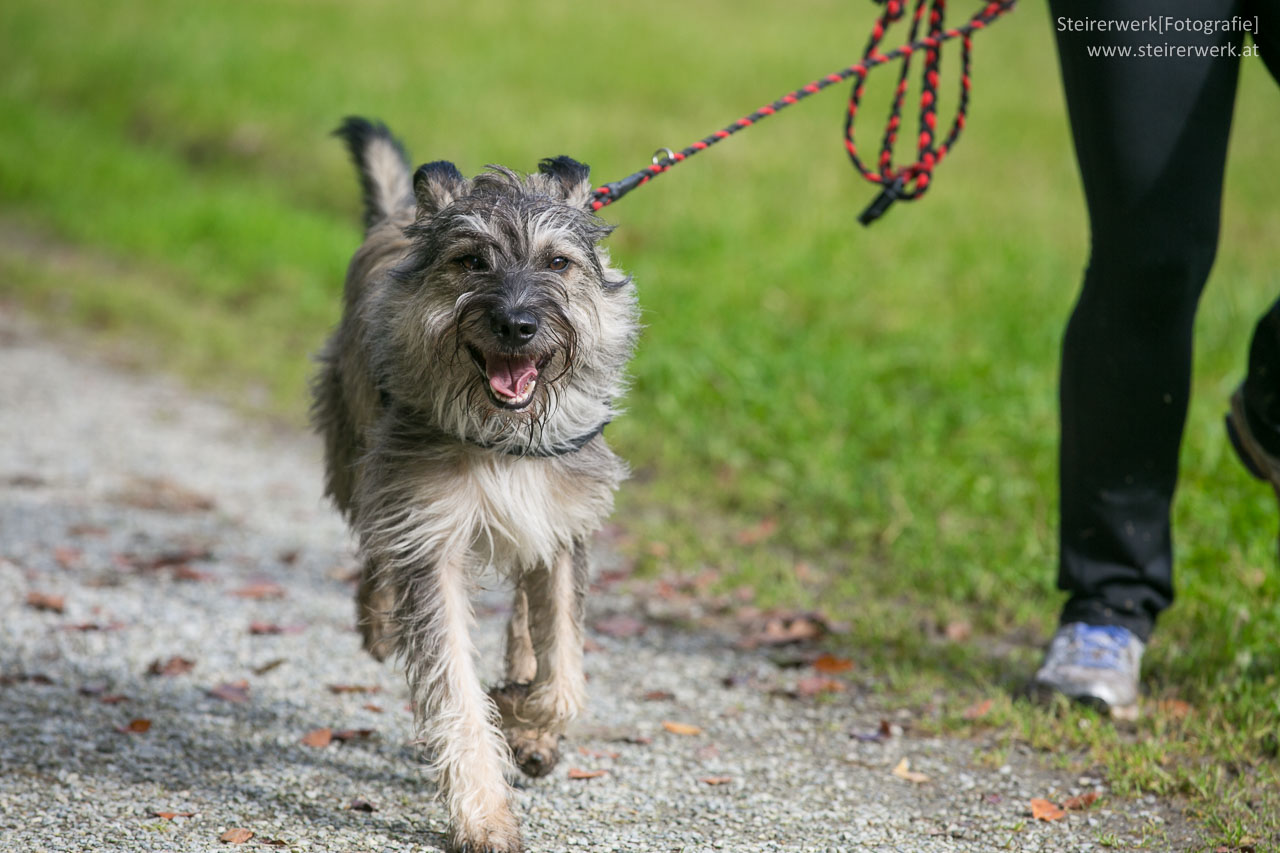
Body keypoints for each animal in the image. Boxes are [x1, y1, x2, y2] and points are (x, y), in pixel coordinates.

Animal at [313, 116, 640, 845]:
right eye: (470, 260)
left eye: (558, 262)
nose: (517, 324)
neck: (501, 436)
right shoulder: (427, 530)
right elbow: (454, 690)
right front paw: (485, 814)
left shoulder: (562, 527)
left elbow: (563, 671)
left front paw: (523, 712)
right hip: (358, 454)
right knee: (374, 541)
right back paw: (379, 617)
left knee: (526, 617)